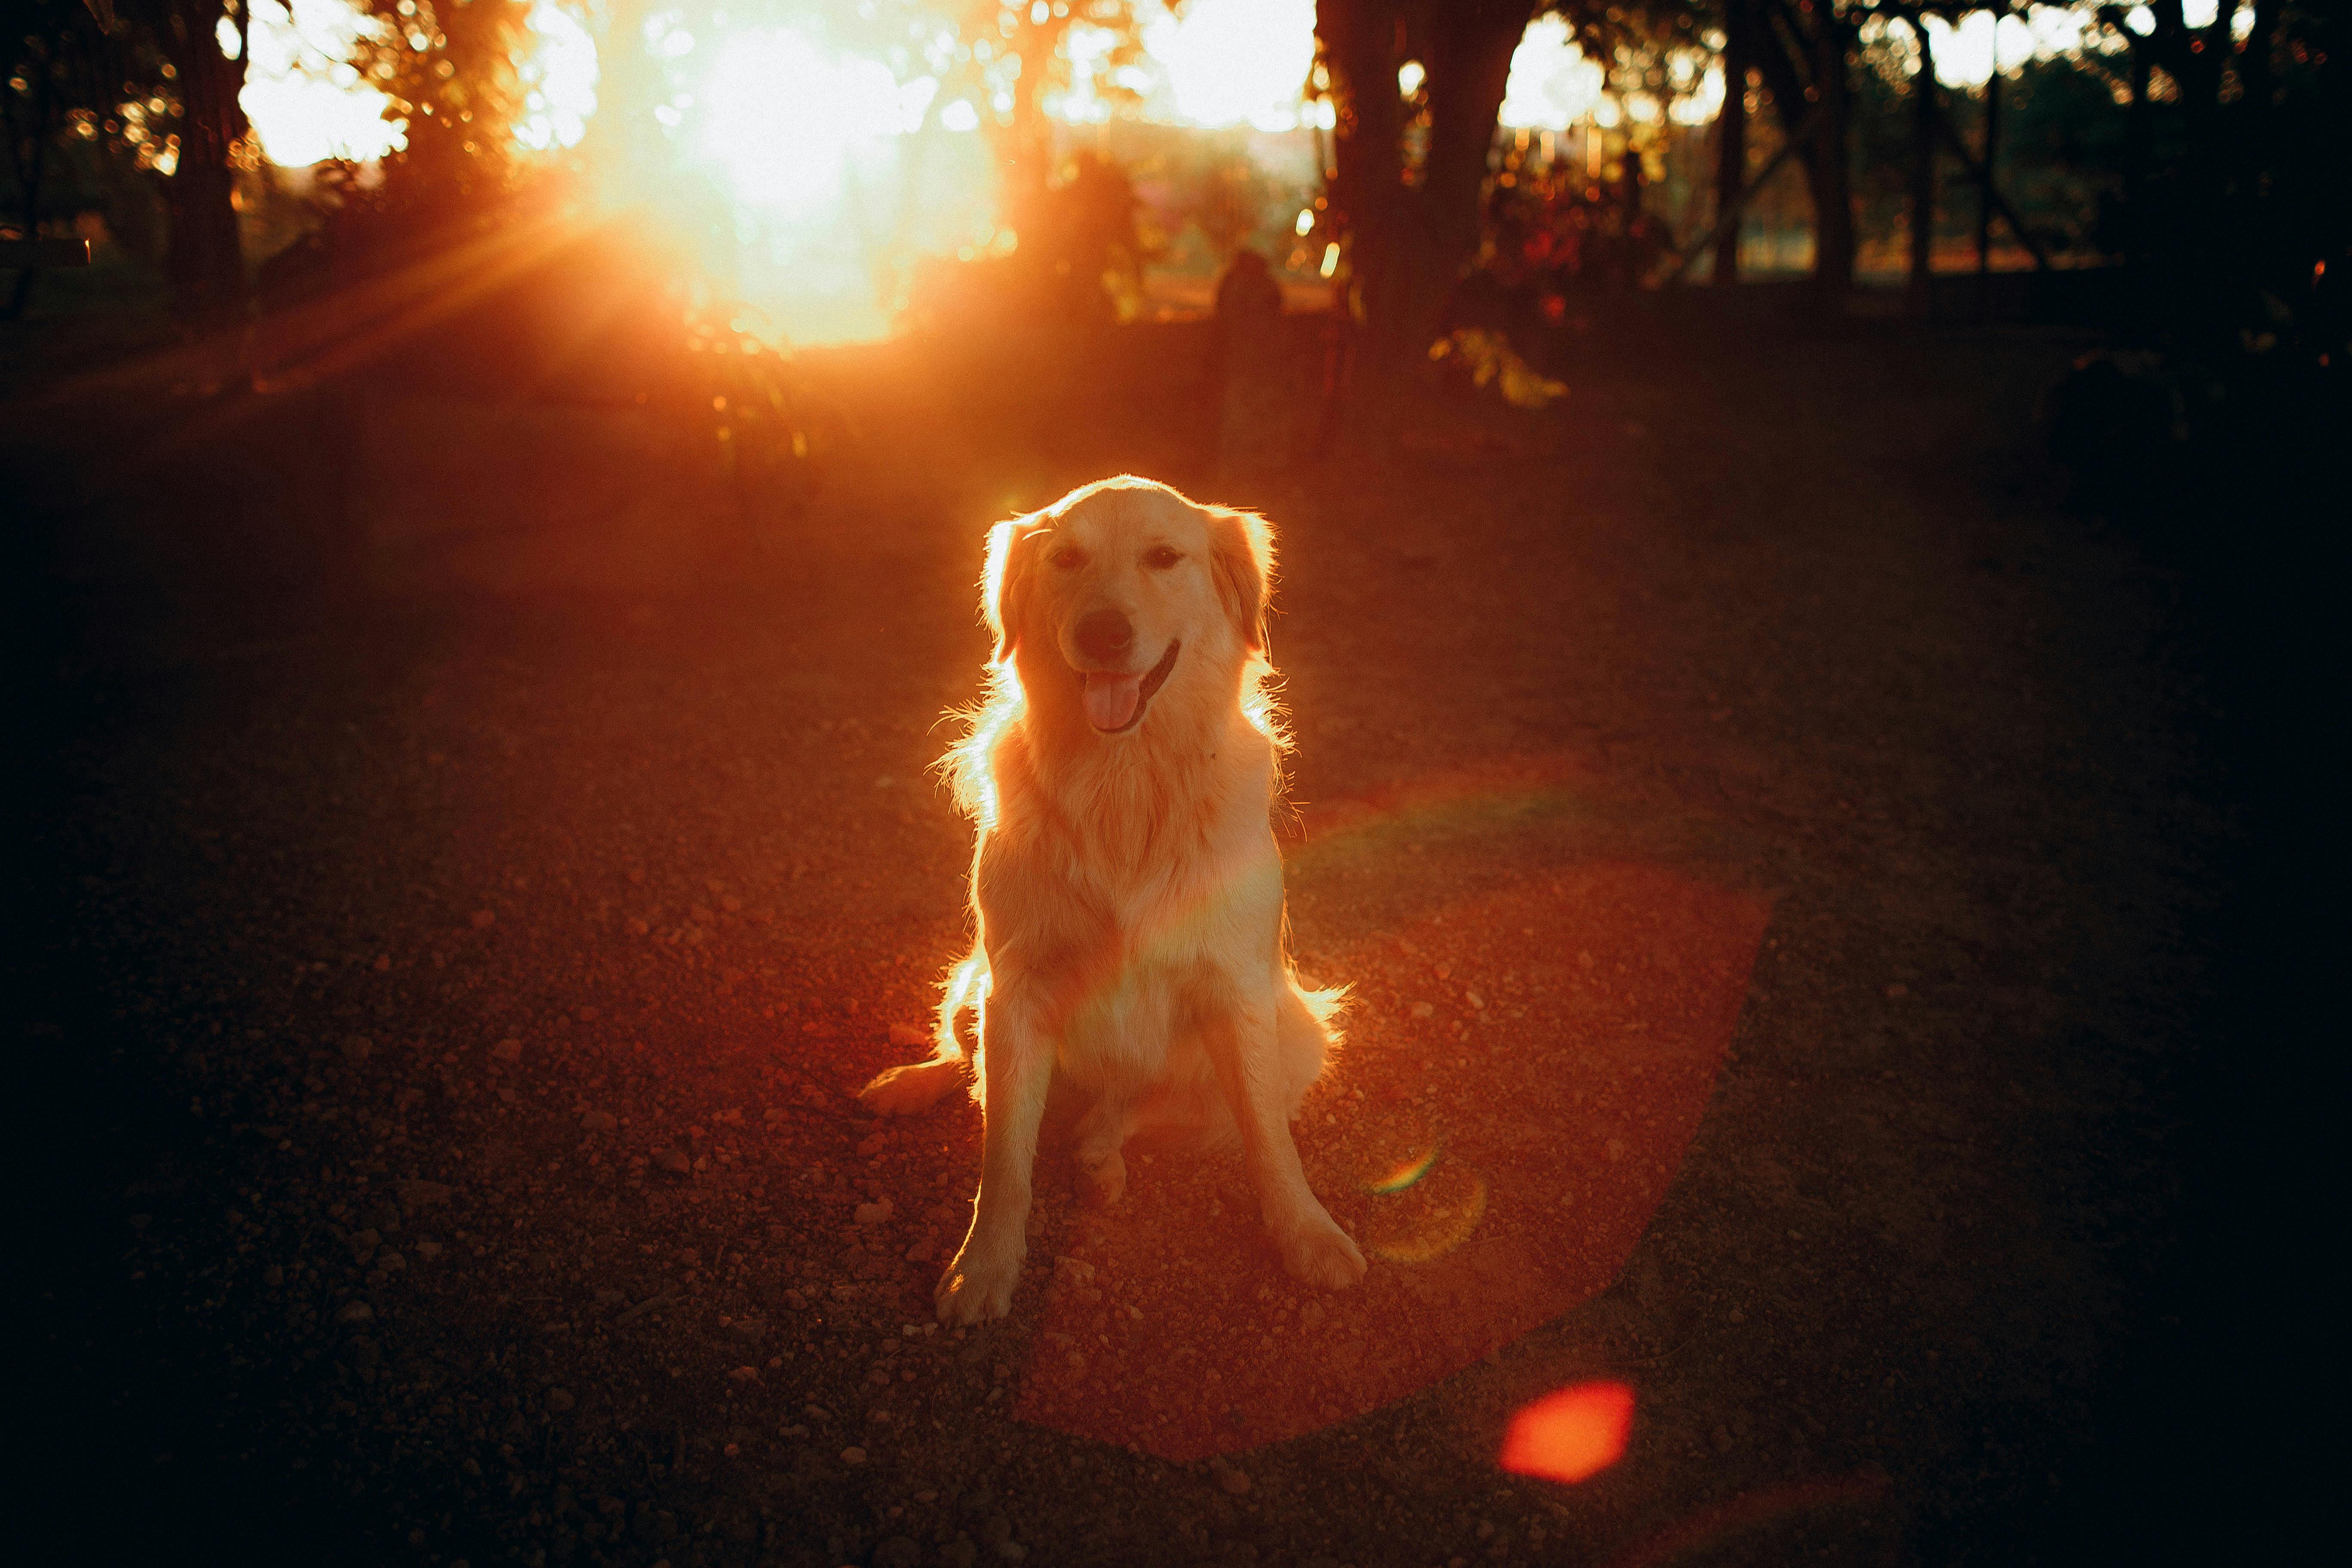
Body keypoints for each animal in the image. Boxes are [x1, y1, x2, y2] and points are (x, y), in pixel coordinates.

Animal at [861, 475, 1373, 1326]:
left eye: (1164, 558)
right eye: (1067, 558)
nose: (1102, 633)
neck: (1125, 780)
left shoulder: (1236, 991)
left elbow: (1270, 1141)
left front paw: (1306, 1235)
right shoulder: (1015, 989)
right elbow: (1003, 1157)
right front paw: (984, 1266)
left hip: (1295, 1031)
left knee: (1130, 1111)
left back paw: (1100, 1158)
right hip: (973, 986)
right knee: (967, 1061)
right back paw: (910, 1084)